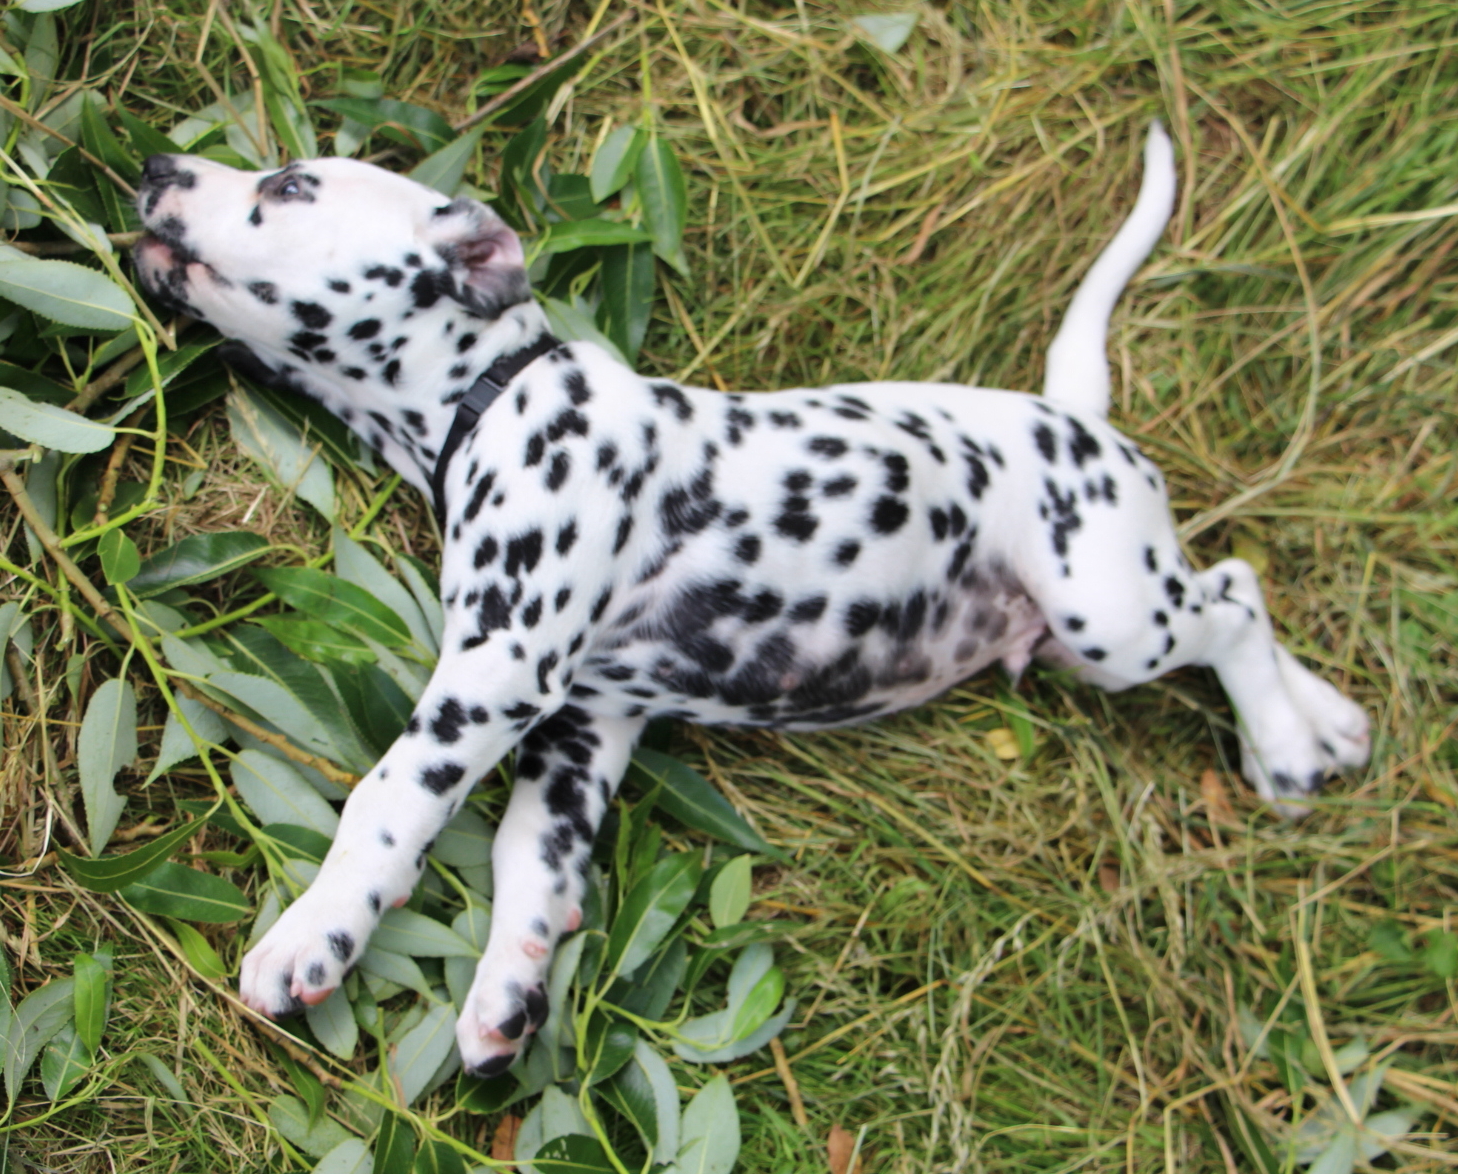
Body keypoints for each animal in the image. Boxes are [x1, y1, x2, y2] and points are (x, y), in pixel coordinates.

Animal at [132, 123, 1369, 1076]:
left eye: (290, 186)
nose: (152, 165)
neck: (493, 398)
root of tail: (1079, 420)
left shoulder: (497, 671)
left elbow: (386, 801)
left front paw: (315, 931)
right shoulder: (584, 729)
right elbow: (530, 861)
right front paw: (508, 991)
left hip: (1105, 609)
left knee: (1233, 597)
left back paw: (1281, 748)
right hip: (1118, 606)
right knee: (1230, 585)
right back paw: (1329, 723)